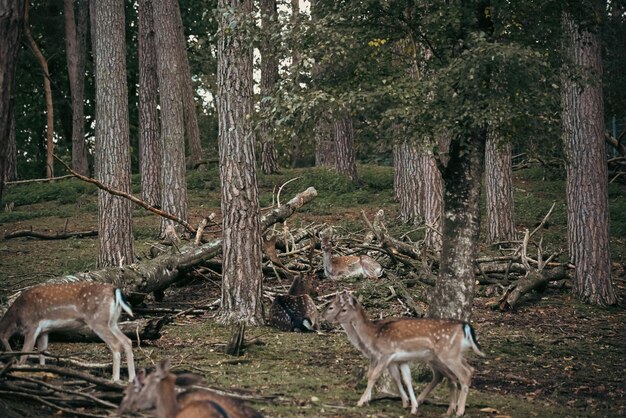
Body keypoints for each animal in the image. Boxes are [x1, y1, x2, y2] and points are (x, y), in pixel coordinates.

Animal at [0, 280, 135, 382]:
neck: (16, 317)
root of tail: (115, 290)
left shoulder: (31, 328)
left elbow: (25, 354)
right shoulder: (44, 331)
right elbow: (42, 353)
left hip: (98, 320)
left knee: (116, 343)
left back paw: (115, 379)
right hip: (112, 321)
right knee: (127, 340)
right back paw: (131, 379)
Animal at [322, 290, 482, 414]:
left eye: (340, 309)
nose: (330, 319)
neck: (372, 336)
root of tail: (465, 326)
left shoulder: (384, 354)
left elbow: (373, 375)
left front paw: (362, 401)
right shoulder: (399, 359)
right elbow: (403, 378)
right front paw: (411, 406)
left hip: (446, 354)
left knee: (462, 374)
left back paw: (459, 411)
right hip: (451, 355)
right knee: (460, 372)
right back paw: (448, 409)